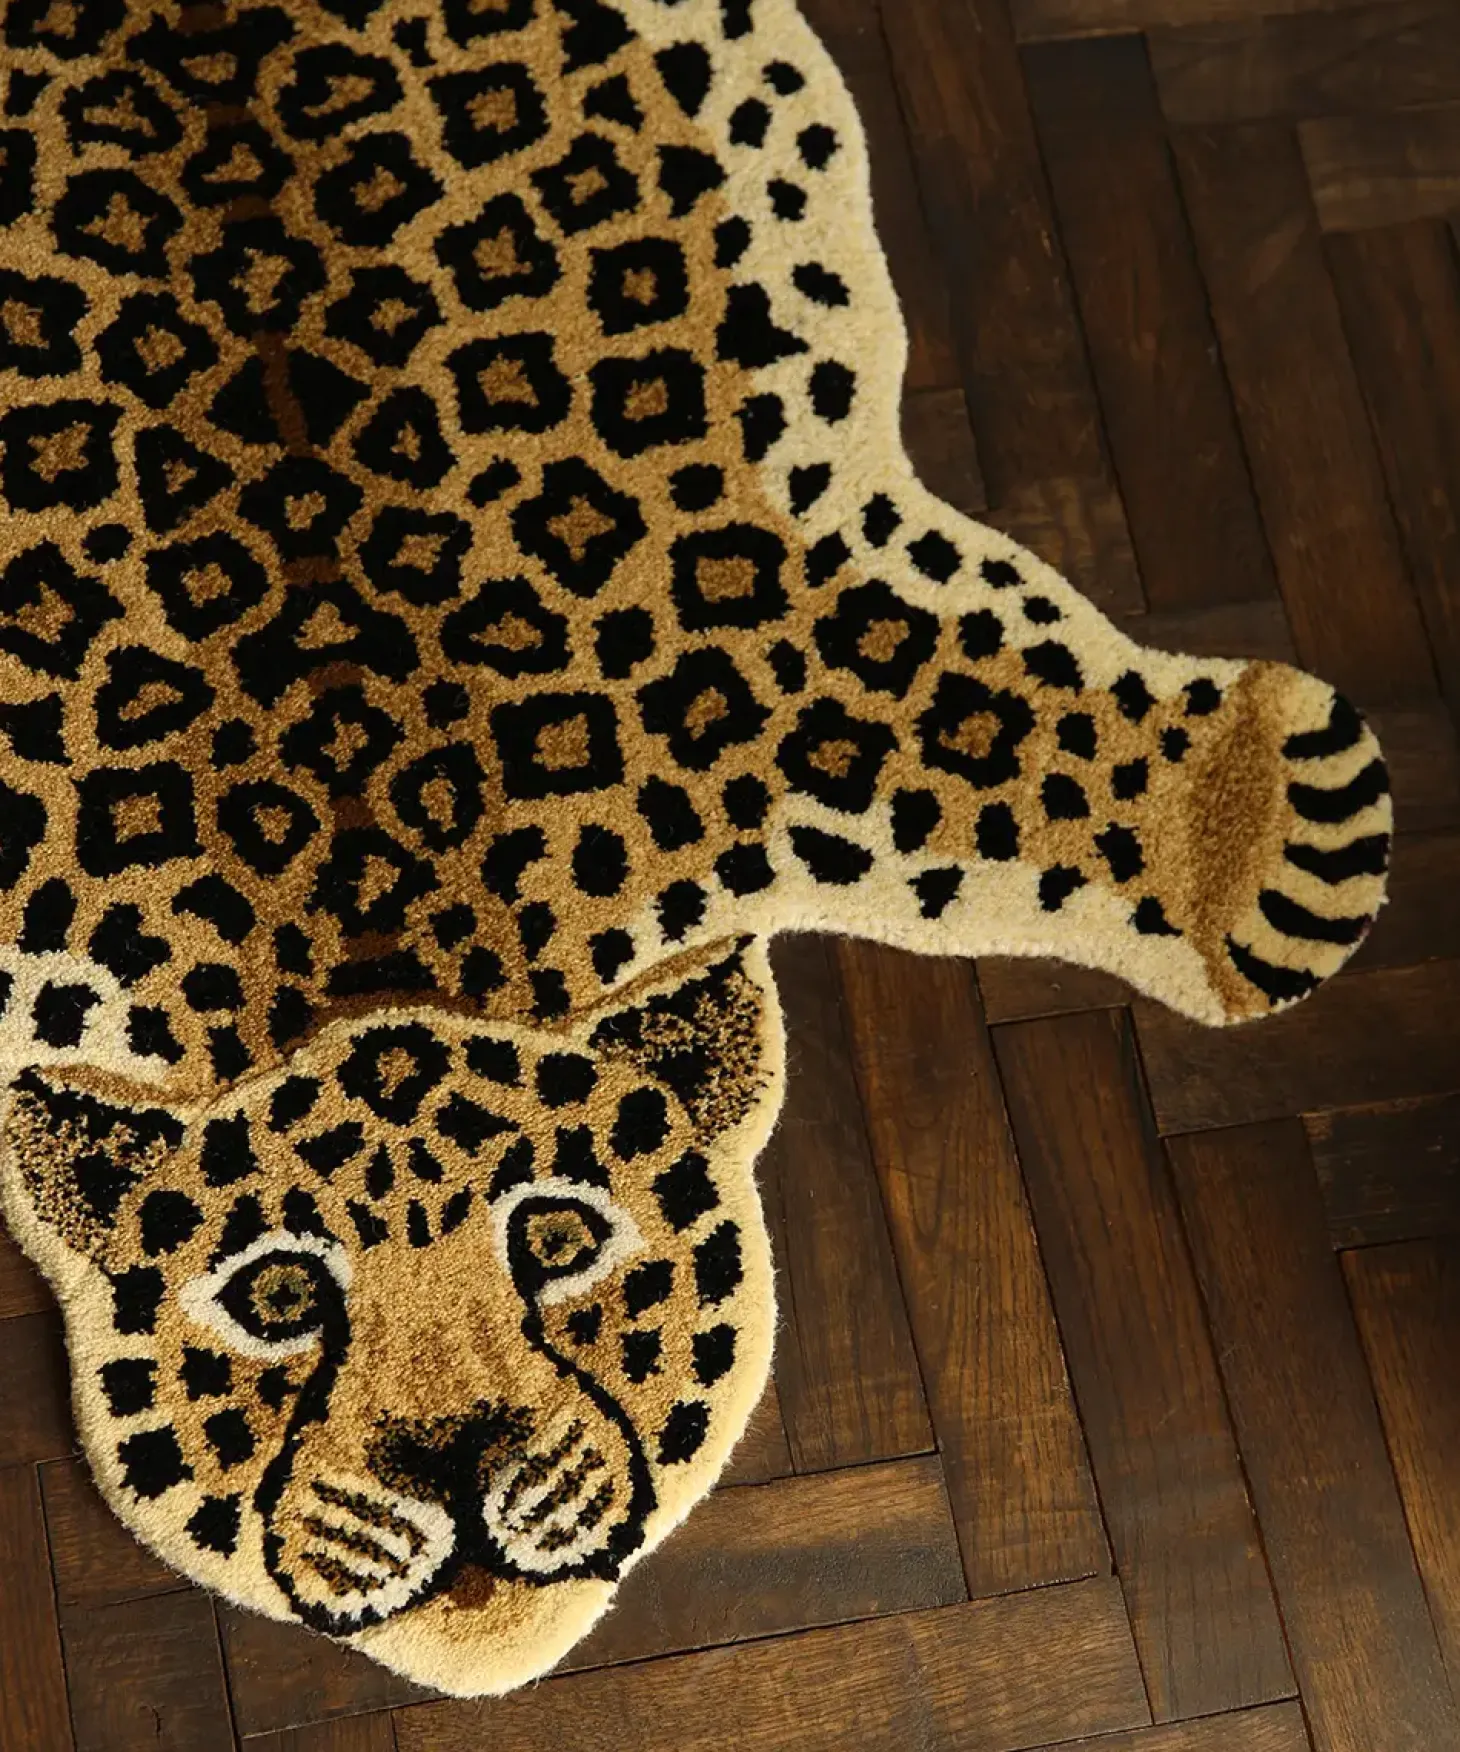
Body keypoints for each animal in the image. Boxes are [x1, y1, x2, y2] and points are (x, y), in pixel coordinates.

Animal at [0, 0, 1390, 1697]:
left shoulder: (736, 653)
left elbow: (951, 710)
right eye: (276, 1293)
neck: (365, 903)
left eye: (557, 1235)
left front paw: (1268, 819)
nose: (450, 1456)